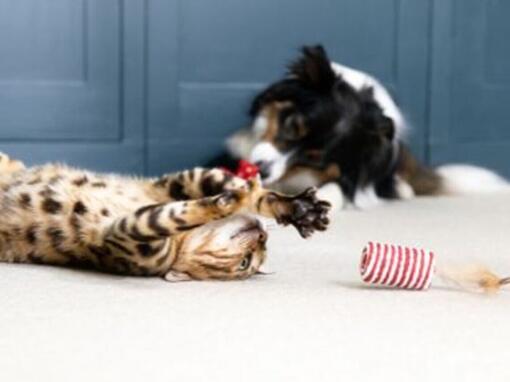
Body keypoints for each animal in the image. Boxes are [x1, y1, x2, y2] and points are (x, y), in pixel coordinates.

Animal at [0, 152, 330, 280]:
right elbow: (242, 189)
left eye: (246, 263)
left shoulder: (128, 237)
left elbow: (170, 215)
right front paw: (297, 208)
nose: (262, 236)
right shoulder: (175, 184)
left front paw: (231, 201)